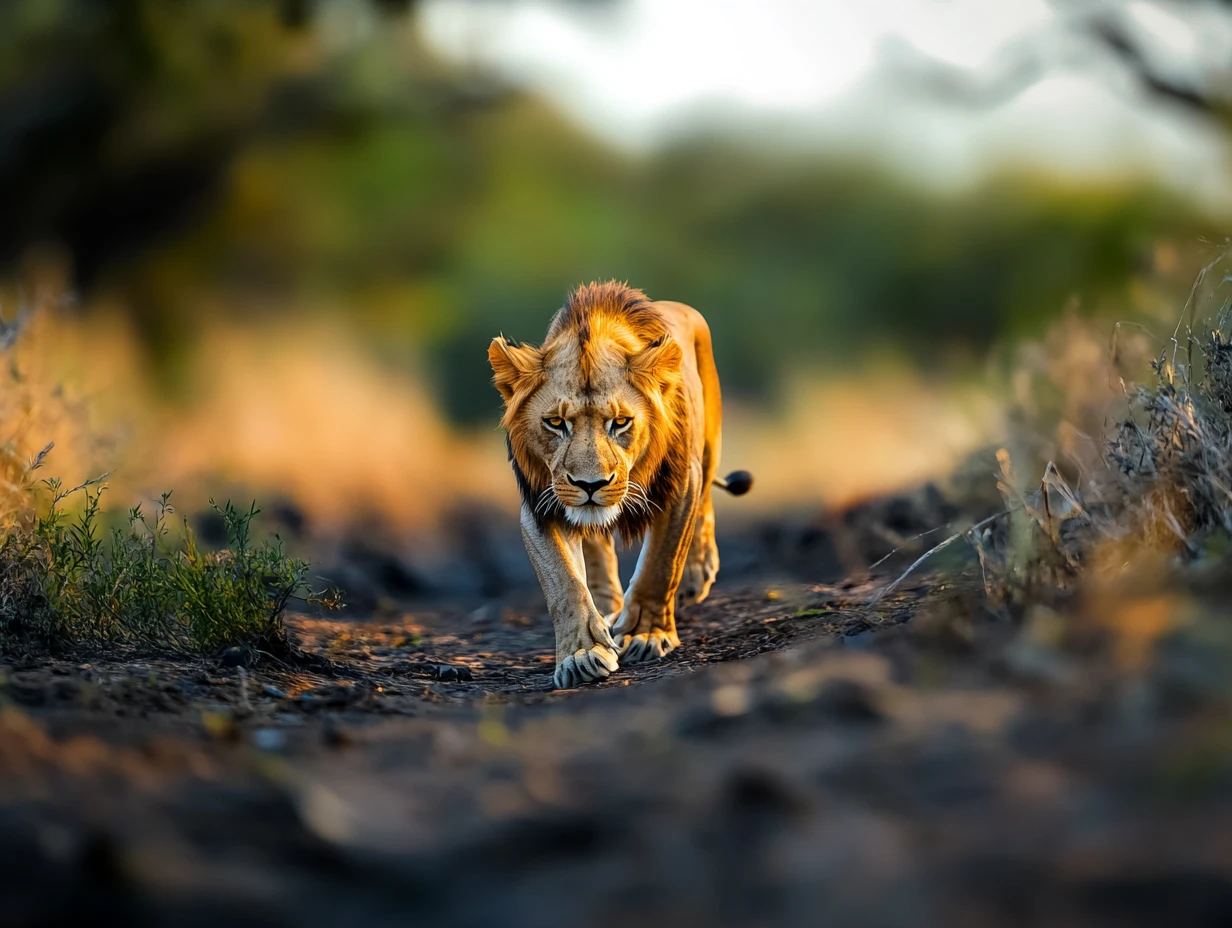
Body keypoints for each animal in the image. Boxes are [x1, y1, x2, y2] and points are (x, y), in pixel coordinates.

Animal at [489, 281, 752, 689]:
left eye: (621, 421)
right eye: (554, 422)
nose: (590, 484)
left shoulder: (681, 484)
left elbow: (661, 564)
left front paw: (646, 634)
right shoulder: (540, 504)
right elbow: (564, 584)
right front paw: (581, 654)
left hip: (709, 444)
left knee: (707, 497)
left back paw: (697, 574)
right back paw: (606, 610)